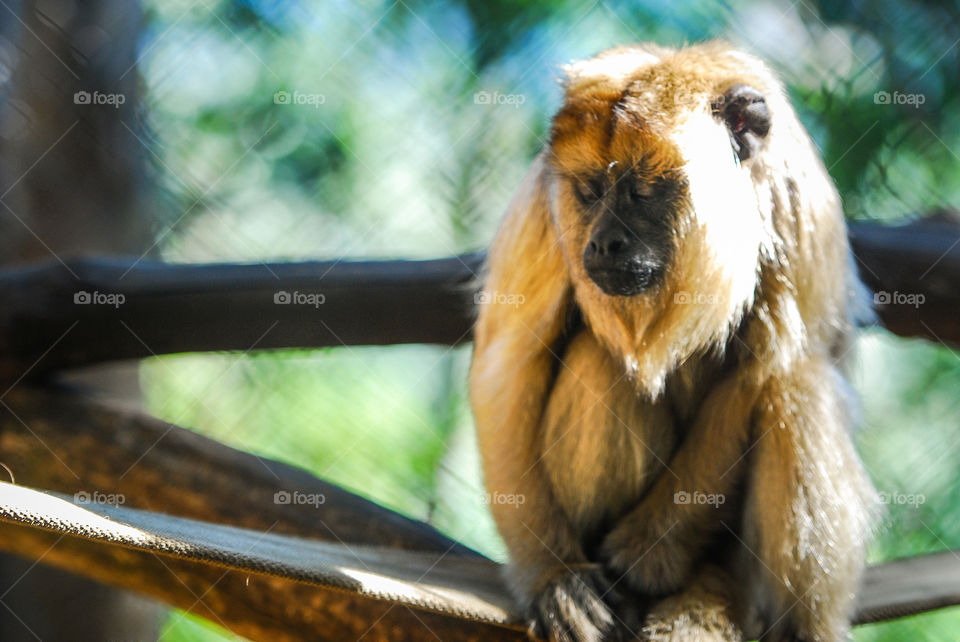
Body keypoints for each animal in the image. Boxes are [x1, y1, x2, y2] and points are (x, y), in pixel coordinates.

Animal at [469, 42, 876, 642]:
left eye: (641, 192)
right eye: (590, 192)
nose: (603, 244)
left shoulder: (799, 201)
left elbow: (759, 372)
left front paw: (647, 557)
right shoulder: (544, 204)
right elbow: (510, 361)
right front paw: (553, 574)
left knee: (799, 383)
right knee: (601, 366)